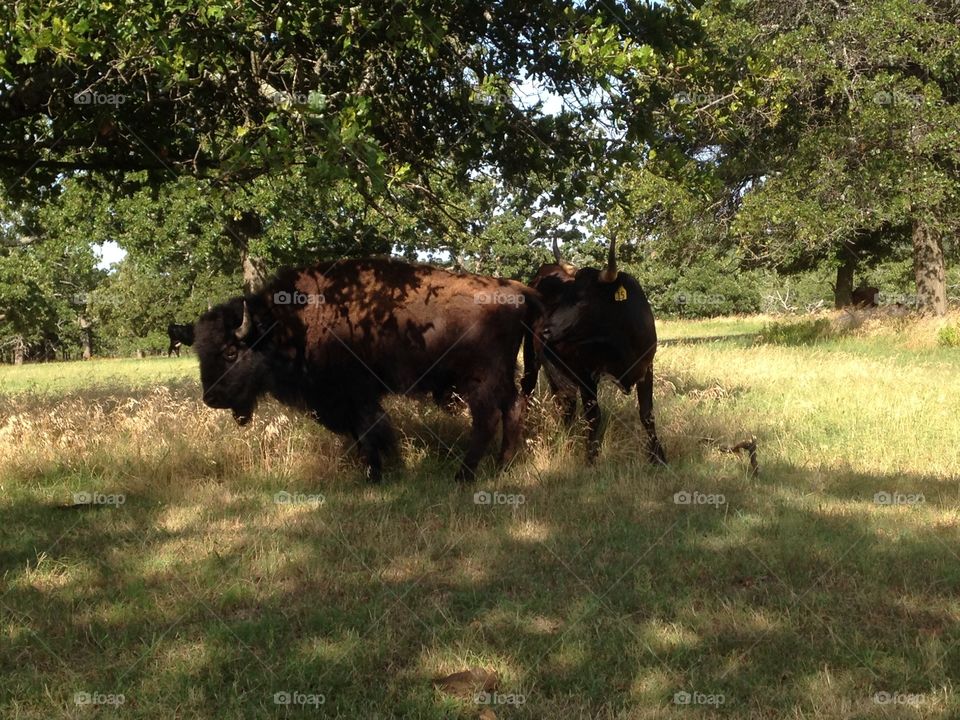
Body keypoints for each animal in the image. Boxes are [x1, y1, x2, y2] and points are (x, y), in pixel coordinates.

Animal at [191, 258, 544, 484]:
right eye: (199, 353)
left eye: (230, 352)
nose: (212, 398)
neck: (290, 325)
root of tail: (517, 290)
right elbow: (364, 433)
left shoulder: (354, 394)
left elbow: (369, 430)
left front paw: (376, 475)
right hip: (501, 377)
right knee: (513, 407)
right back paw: (501, 467)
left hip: (480, 379)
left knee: (487, 419)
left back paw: (464, 476)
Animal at [524, 236, 668, 462]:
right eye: (565, 295)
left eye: (583, 299)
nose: (545, 330)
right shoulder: (584, 374)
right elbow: (594, 416)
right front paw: (591, 456)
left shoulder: (646, 368)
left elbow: (647, 413)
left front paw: (657, 456)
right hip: (532, 357)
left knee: (565, 403)